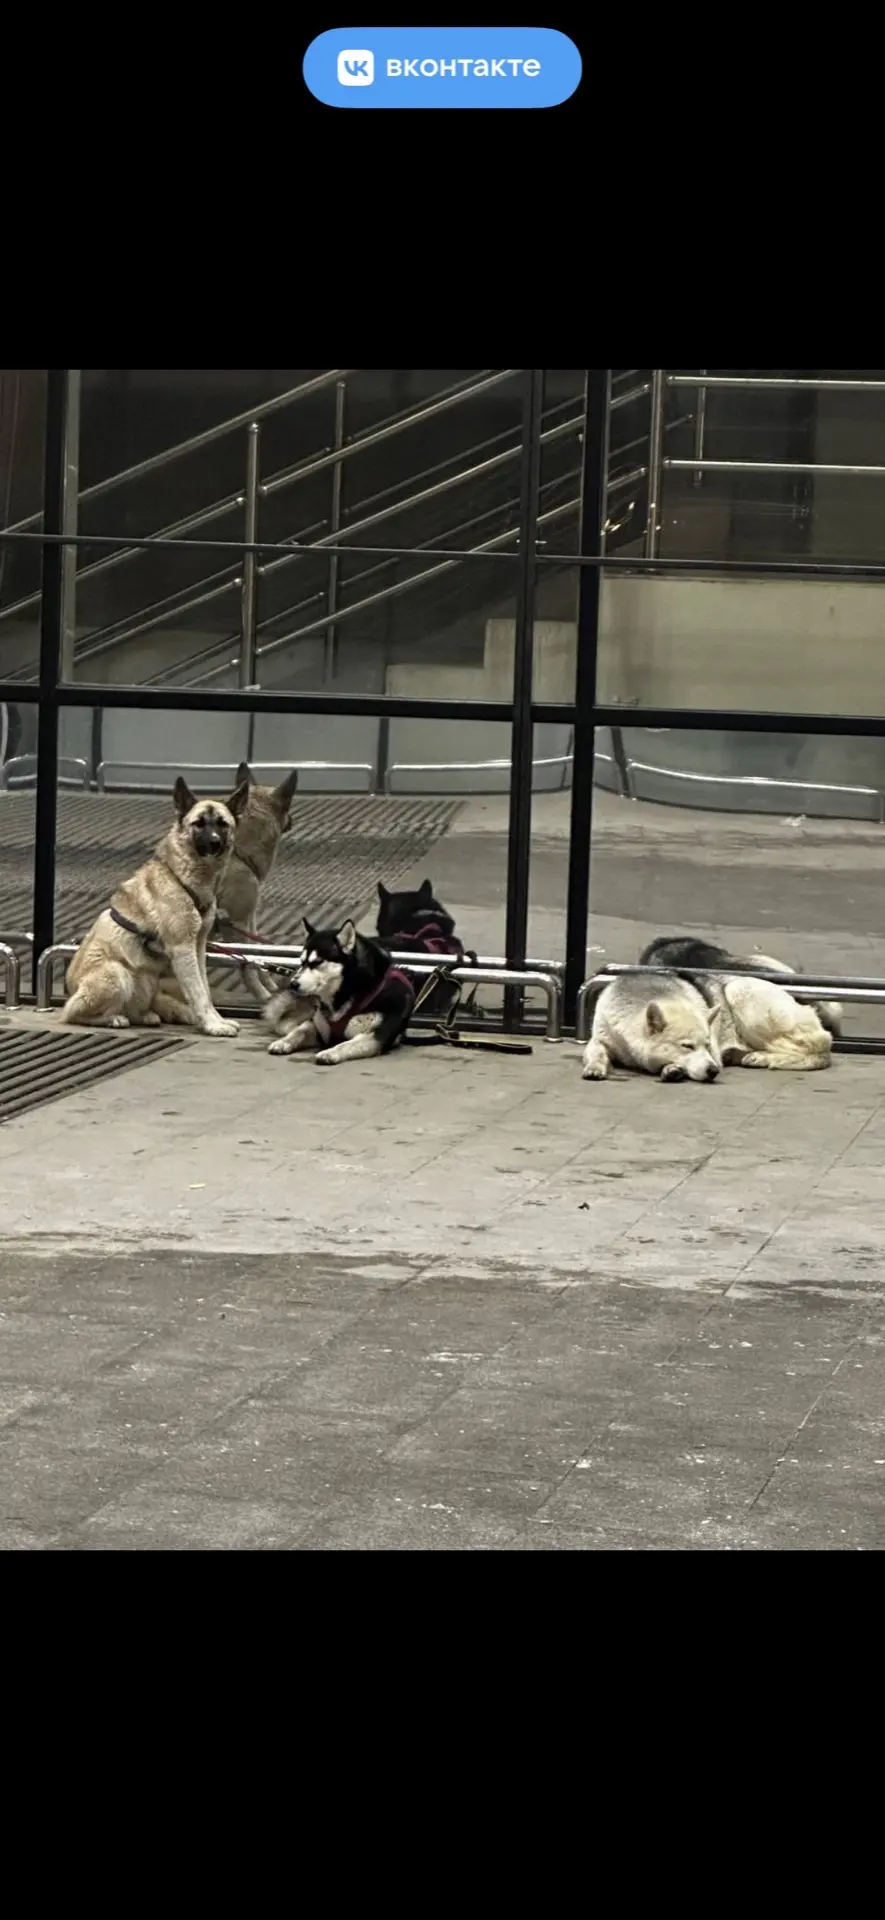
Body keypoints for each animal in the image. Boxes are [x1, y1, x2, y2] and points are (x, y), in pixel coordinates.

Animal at [61, 775, 248, 1037]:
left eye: (222, 824)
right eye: (199, 823)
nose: (214, 843)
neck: (180, 877)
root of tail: (71, 987)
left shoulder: (198, 947)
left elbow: (205, 990)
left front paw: (215, 1020)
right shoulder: (183, 949)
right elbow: (198, 992)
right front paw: (213, 1025)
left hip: (148, 981)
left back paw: (143, 1016)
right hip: (116, 973)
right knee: (72, 1013)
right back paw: (111, 1019)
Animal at [263, 918, 415, 1066]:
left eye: (317, 962)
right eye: (302, 963)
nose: (292, 984)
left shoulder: (373, 1037)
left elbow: (345, 1045)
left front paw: (329, 1052)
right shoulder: (318, 1027)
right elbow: (299, 1031)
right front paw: (283, 1042)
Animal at [582, 968, 832, 1081]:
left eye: (707, 1046)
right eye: (687, 1046)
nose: (714, 1071)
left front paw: (671, 1069)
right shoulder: (601, 1036)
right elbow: (595, 1051)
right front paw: (595, 1066)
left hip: (739, 991)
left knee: (818, 1050)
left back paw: (765, 1057)